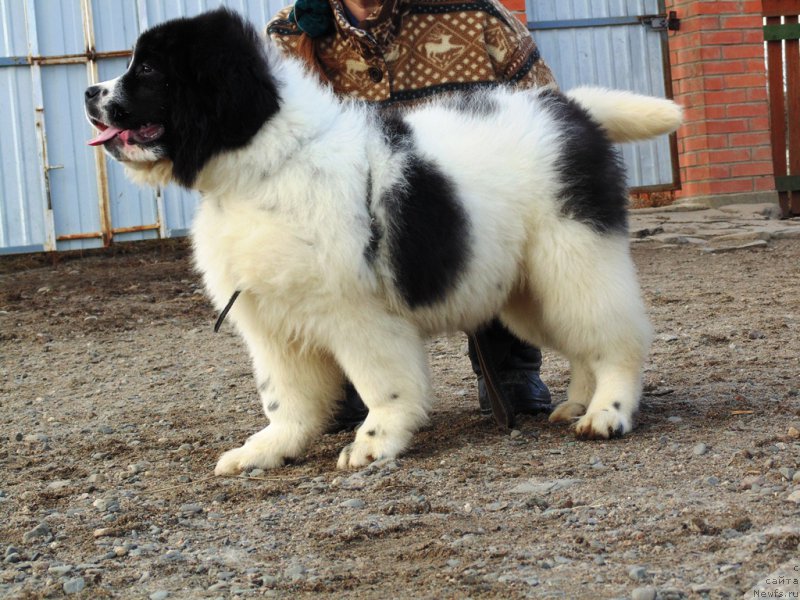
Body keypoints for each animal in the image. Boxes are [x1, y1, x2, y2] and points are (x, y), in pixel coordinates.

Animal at [83, 8, 680, 474]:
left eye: (148, 69)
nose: (90, 91)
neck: (267, 165)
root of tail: (572, 112)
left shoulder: (357, 313)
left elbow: (382, 385)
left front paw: (374, 443)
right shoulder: (275, 323)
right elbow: (286, 398)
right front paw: (269, 449)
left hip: (574, 258)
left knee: (617, 340)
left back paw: (607, 413)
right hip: (529, 288)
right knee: (582, 345)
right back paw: (577, 404)